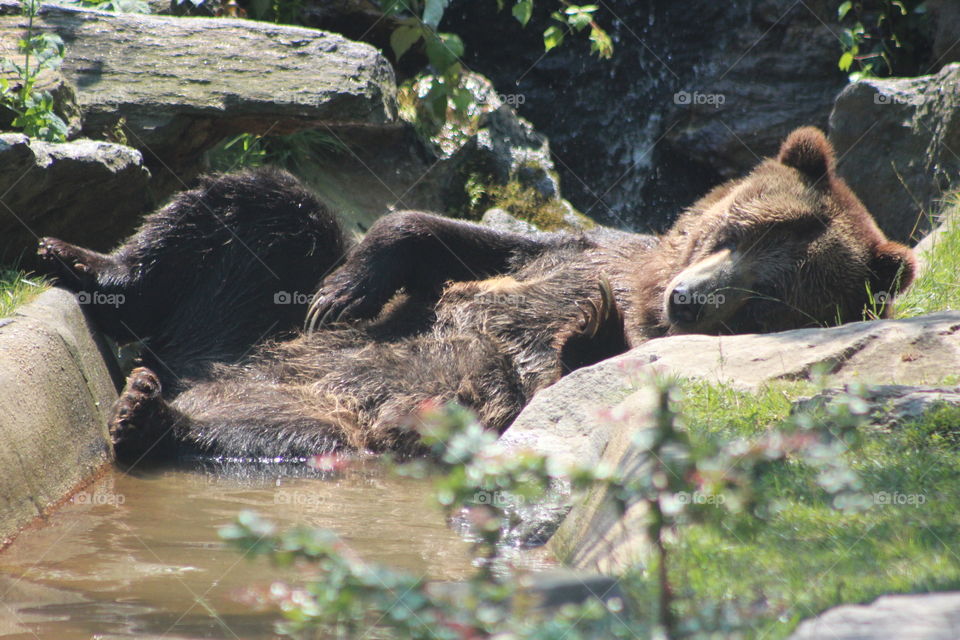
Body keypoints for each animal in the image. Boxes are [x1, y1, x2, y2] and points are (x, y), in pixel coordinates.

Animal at [36, 127, 917, 463]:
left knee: (270, 433)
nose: (690, 302)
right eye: (733, 231)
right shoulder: (589, 248)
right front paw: (348, 290)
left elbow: (551, 369)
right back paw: (76, 261)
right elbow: (452, 242)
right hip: (245, 317)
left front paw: (589, 331)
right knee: (262, 206)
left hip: (321, 421)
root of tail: (195, 374)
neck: (644, 295)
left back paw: (147, 414)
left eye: (768, 300)